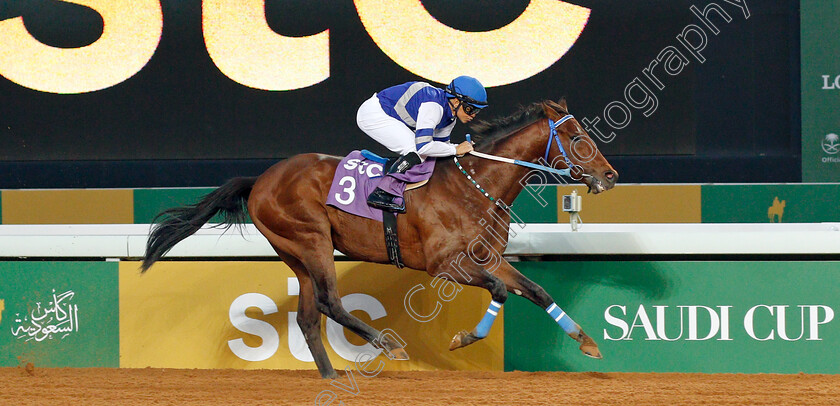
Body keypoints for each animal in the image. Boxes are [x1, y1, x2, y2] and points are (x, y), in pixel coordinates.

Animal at [143, 98, 616, 378]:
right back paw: (388, 346)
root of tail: (260, 179)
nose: (610, 176)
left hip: (296, 253)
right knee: (330, 302)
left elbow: (535, 290)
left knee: (309, 317)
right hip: (312, 240)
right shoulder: (446, 266)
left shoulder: (488, 258)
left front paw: (588, 341)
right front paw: (462, 339)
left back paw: (330, 374)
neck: (475, 184)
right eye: (577, 138)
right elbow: (500, 290)